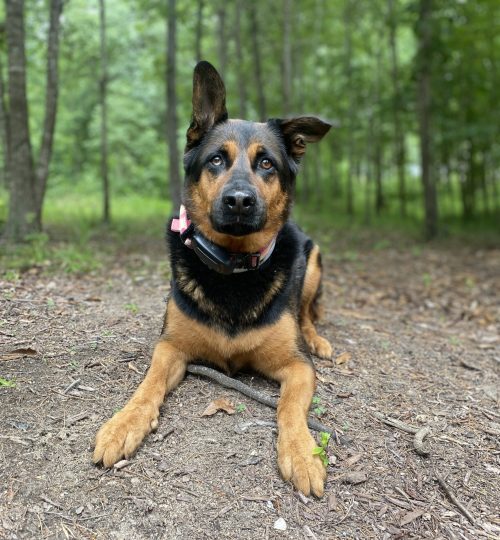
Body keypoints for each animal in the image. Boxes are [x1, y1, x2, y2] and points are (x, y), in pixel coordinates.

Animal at [95, 60, 334, 498]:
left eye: (267, 164)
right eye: (217, 161)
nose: (239, 201)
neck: (233, 267)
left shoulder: (297, 367)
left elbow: (290, 406)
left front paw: (302, 452)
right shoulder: (170, 348)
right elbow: (147, 385)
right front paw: (124, 423)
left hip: (313, 259)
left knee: (308, 311)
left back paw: (317, 337)